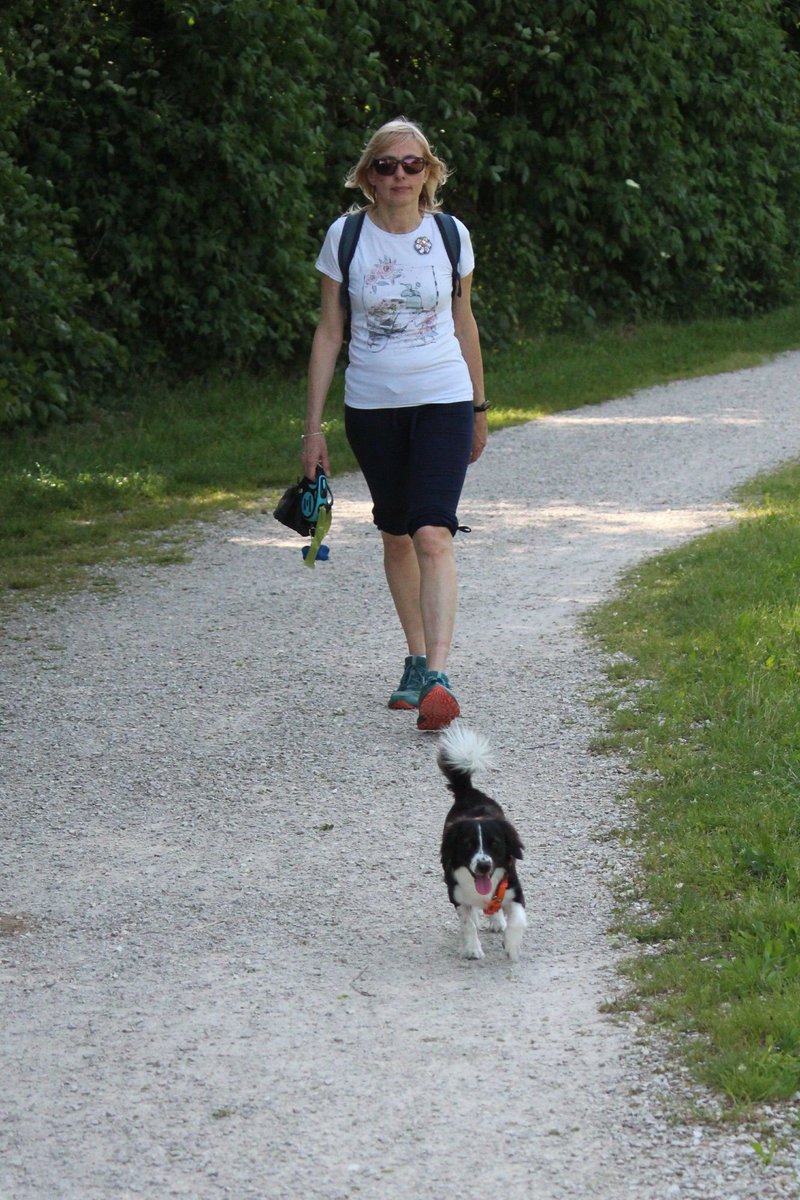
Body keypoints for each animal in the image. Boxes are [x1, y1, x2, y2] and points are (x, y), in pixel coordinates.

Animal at [438, 720, 525, 964]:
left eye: (494, 844)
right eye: (468, 844)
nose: (484, 865)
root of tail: (468, 792)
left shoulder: (514, 888)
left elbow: (518, 920)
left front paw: (511, 946)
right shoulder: (456, 893)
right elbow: (467, 923)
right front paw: (472, 949)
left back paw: (497, 921)